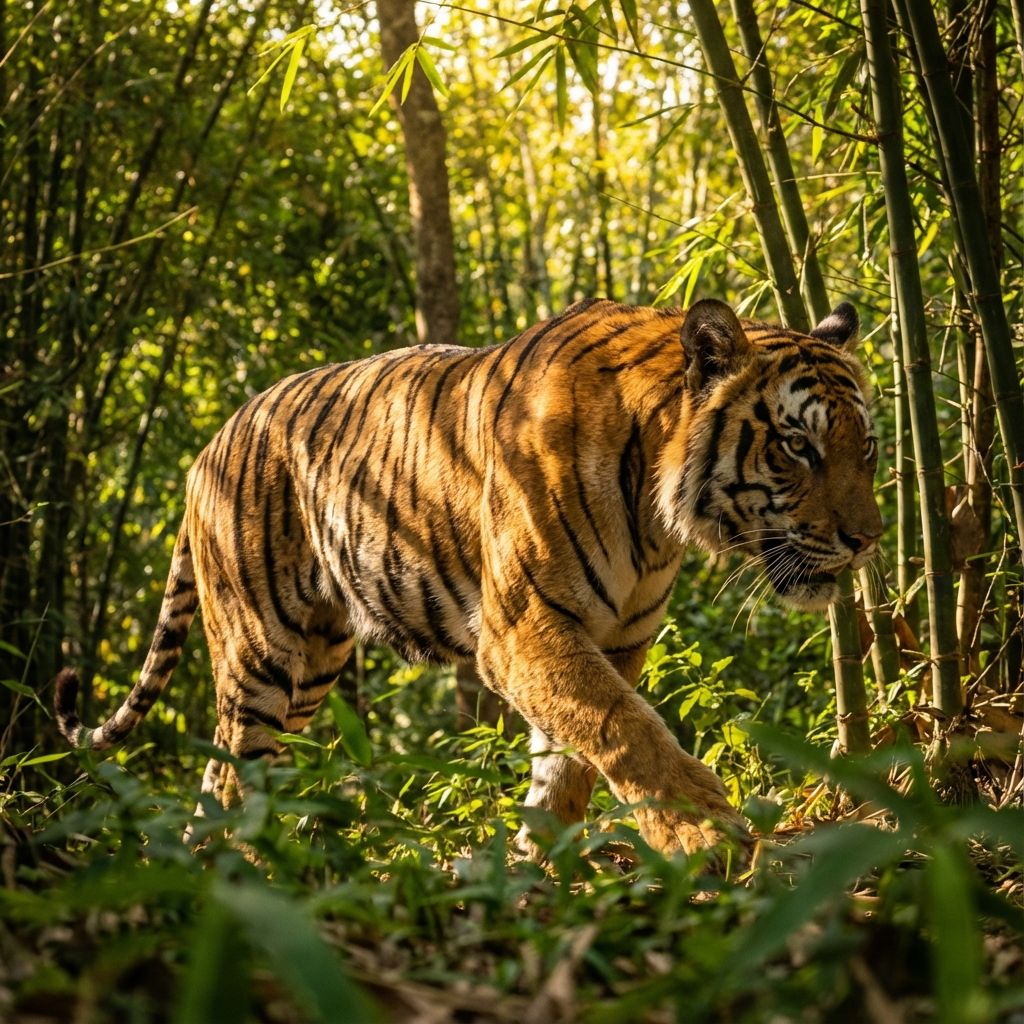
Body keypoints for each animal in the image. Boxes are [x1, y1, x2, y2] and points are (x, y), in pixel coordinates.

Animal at [54, 297, 882, 862]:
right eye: (797, 446)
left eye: (867, 446)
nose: (868, 540)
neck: (657, 509)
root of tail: (209, 446)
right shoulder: (523, 629)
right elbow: (624, 728)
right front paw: (701, 833)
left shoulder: (617, 640)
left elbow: (573, 757)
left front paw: (532, 874)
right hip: (261, 655)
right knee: (231, 771)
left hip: (313, 666)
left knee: (221, 777)